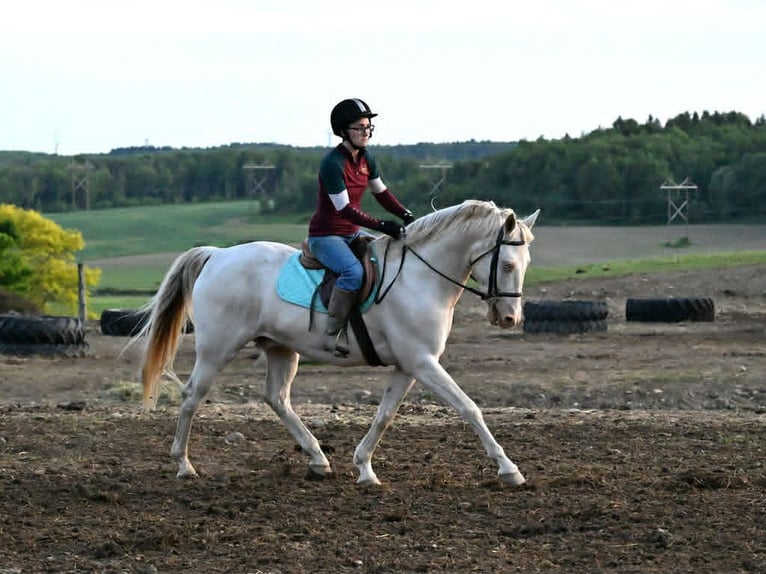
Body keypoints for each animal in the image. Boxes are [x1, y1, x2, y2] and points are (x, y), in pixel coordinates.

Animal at [134, 199, 540, 487]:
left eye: (526, 263)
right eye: (506, 265)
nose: (510, 318)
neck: (420, 278)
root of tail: (218, 255)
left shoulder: (408, 366)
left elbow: (385, 415)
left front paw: (365, 468)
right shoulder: (423, 362)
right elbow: (469, 408)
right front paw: (509, 469)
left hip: (281, 349)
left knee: (277, 398)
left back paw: (318, 459)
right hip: (217, 349)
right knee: (192, 396)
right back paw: (184, 464)